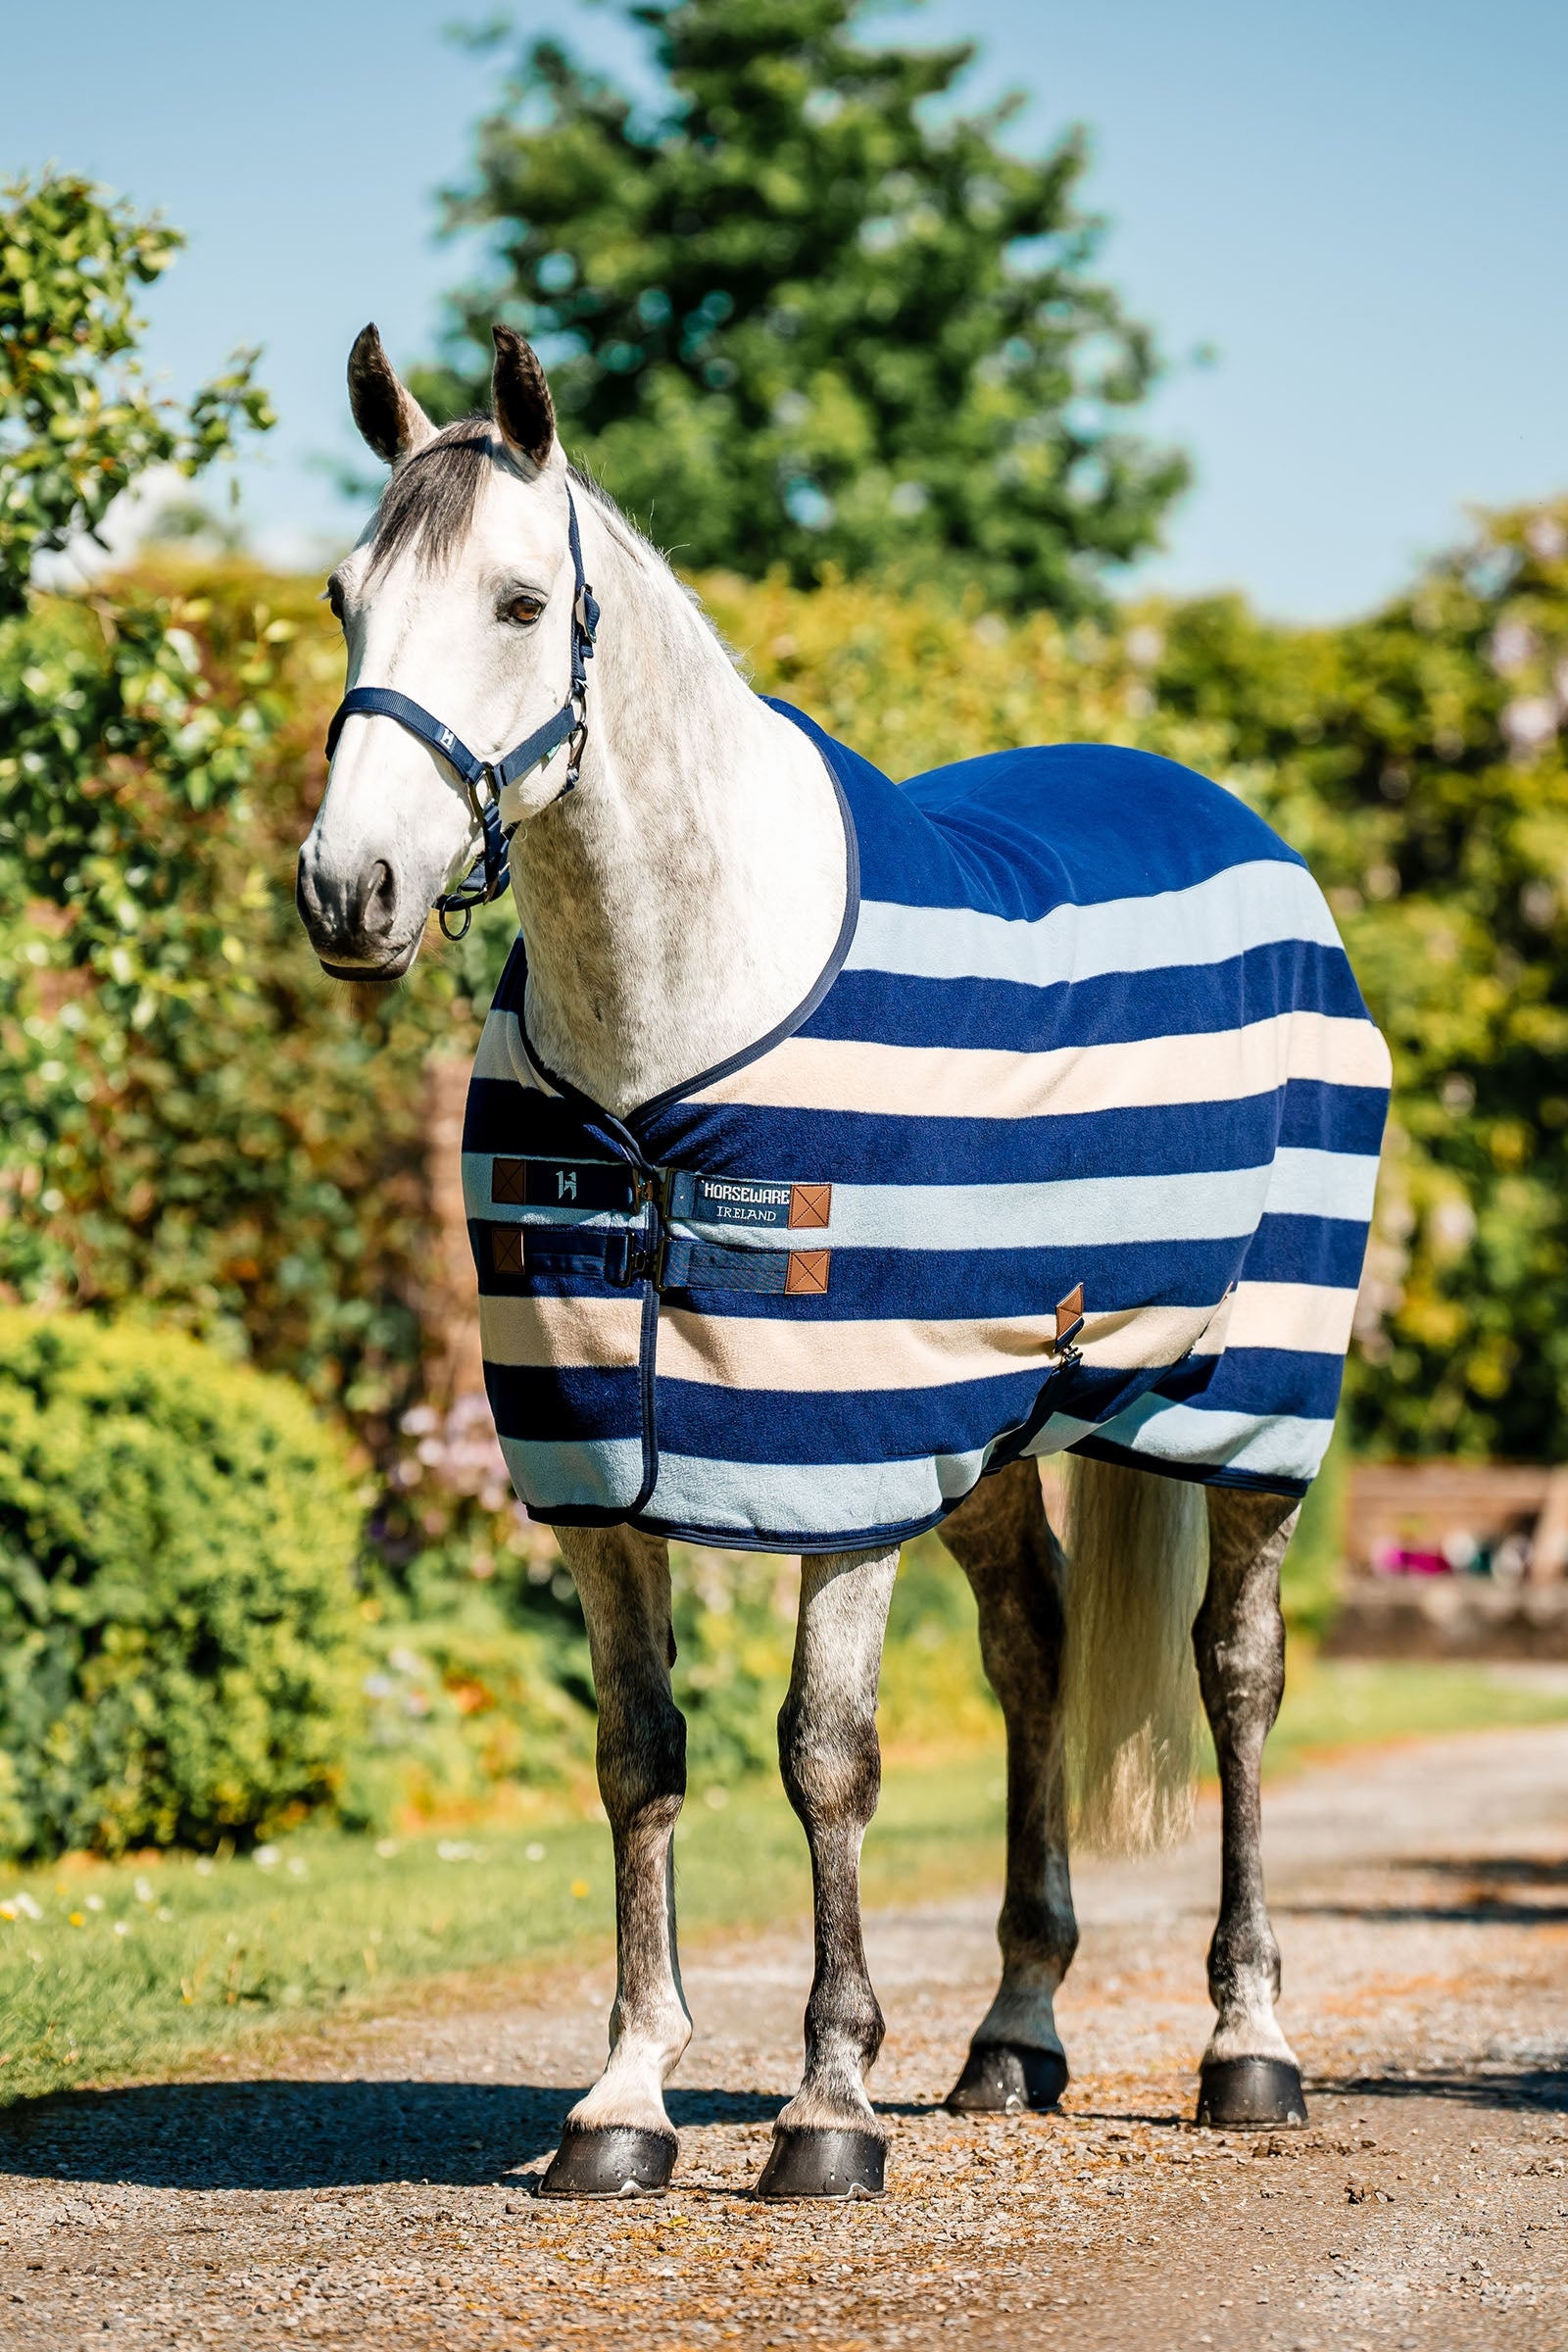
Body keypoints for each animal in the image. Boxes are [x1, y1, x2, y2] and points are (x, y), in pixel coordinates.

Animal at [296, 320, 1390, 2201]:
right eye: (344, 598)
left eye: (518, 601)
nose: (348, 889)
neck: (671, 1054)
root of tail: (1240, 822)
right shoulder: (603, 1473)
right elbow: (639, 1756)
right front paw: (623, 2102)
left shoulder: (839, 1464)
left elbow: (826, 1758)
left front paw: (824, 2106)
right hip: (1001, 1423)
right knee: (1032, 1649)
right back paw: (1013, 2037)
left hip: (1249, 1406)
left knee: (1238, 1679)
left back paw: (1248, 2046)